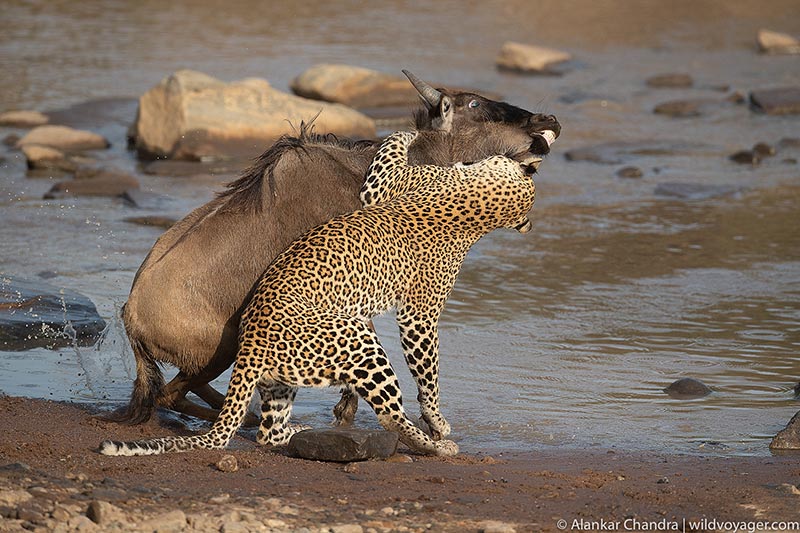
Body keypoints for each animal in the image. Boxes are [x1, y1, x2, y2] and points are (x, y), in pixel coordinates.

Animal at [99, 129, 537, 457]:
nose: (538, 138)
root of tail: (129, 315)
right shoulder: (409, 309)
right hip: (233, 347)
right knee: (173, 394)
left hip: (243, 360)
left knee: (201, 401)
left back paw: (271, 422)